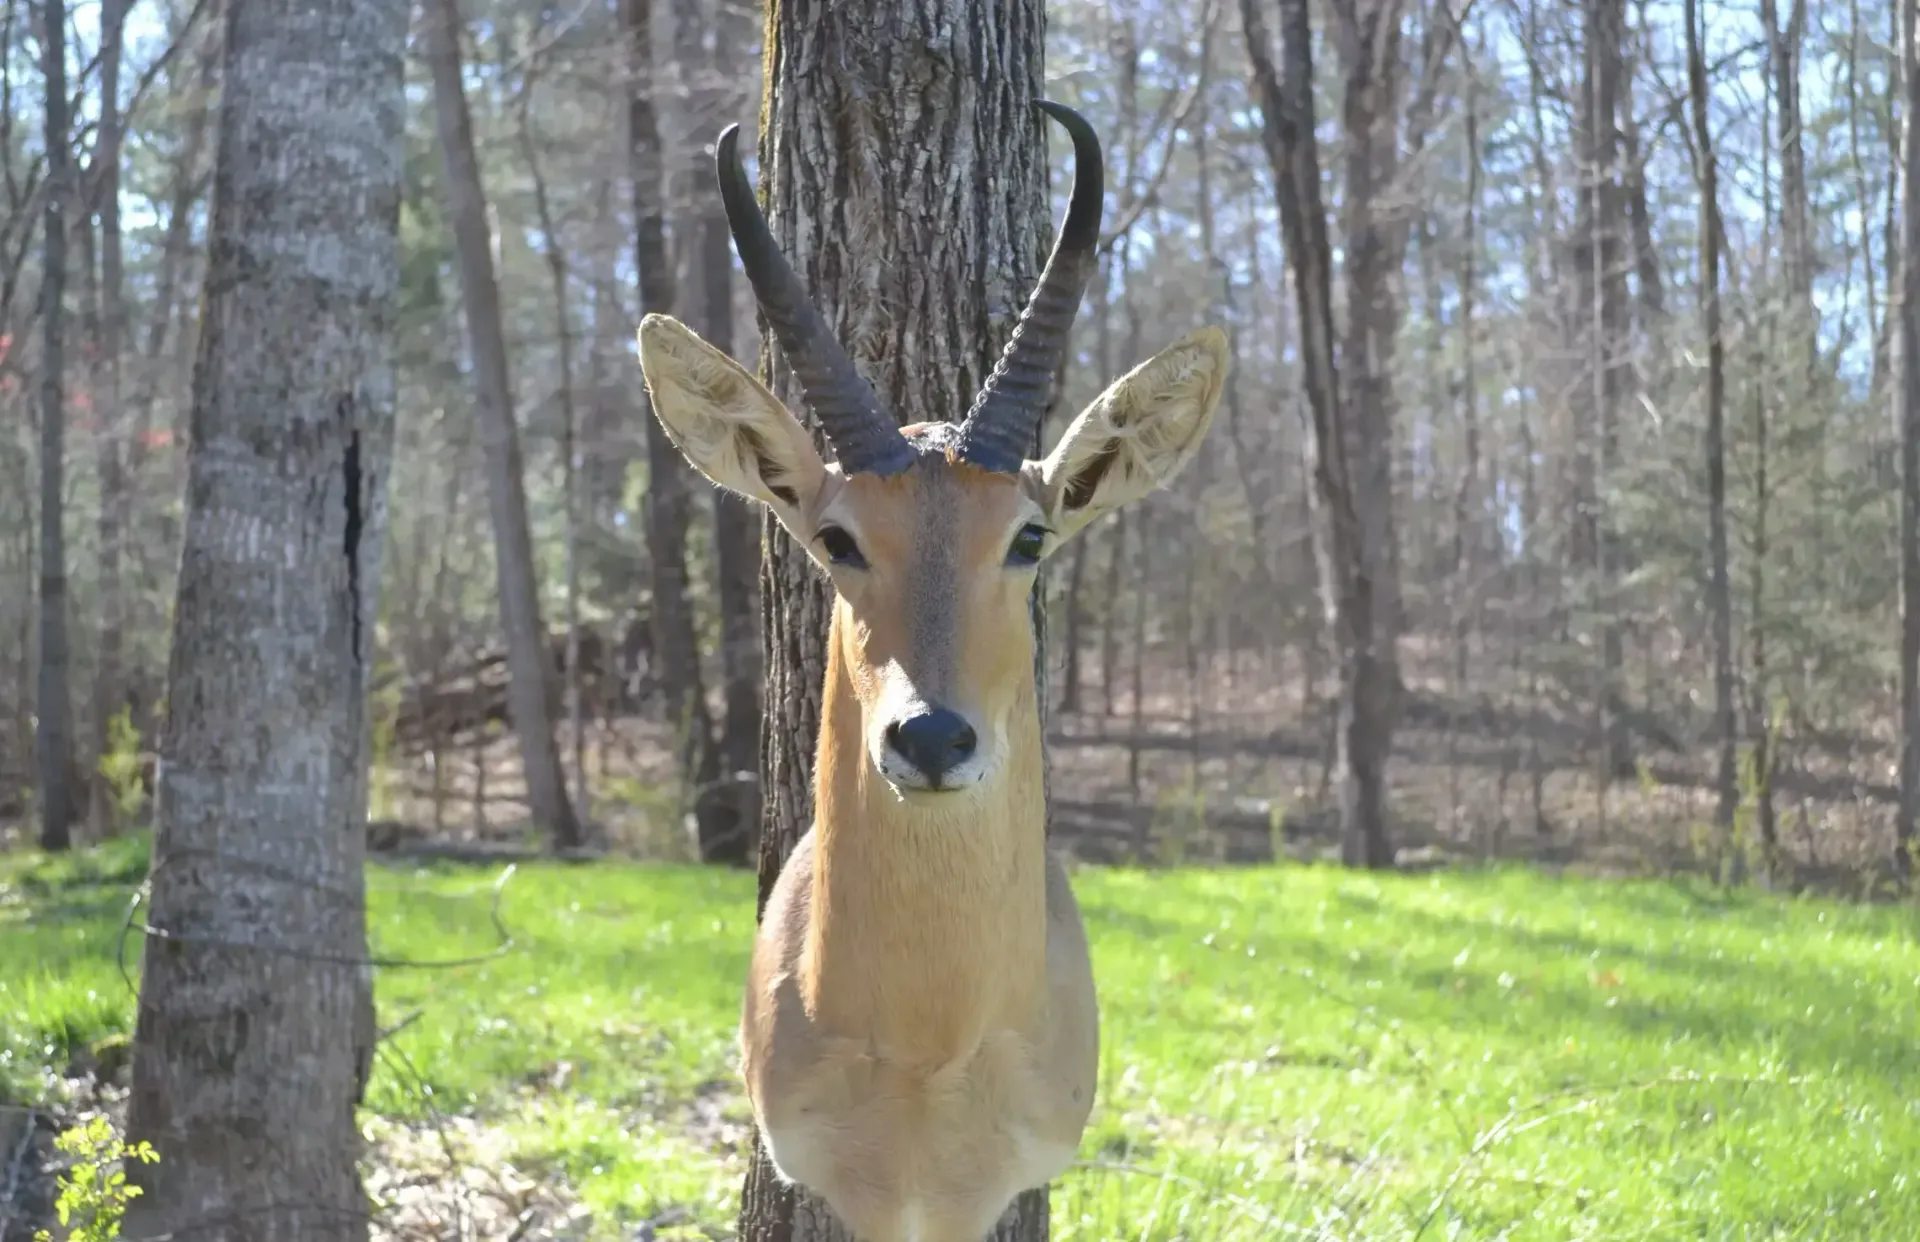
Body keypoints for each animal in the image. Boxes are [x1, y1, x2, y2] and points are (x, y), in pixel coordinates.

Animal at [635, 101, 1229, 1242]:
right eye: (838, 537)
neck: (927, 1049)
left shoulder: (973, 1194)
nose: (933, 737)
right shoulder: (861, 1191)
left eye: (1029, 534)